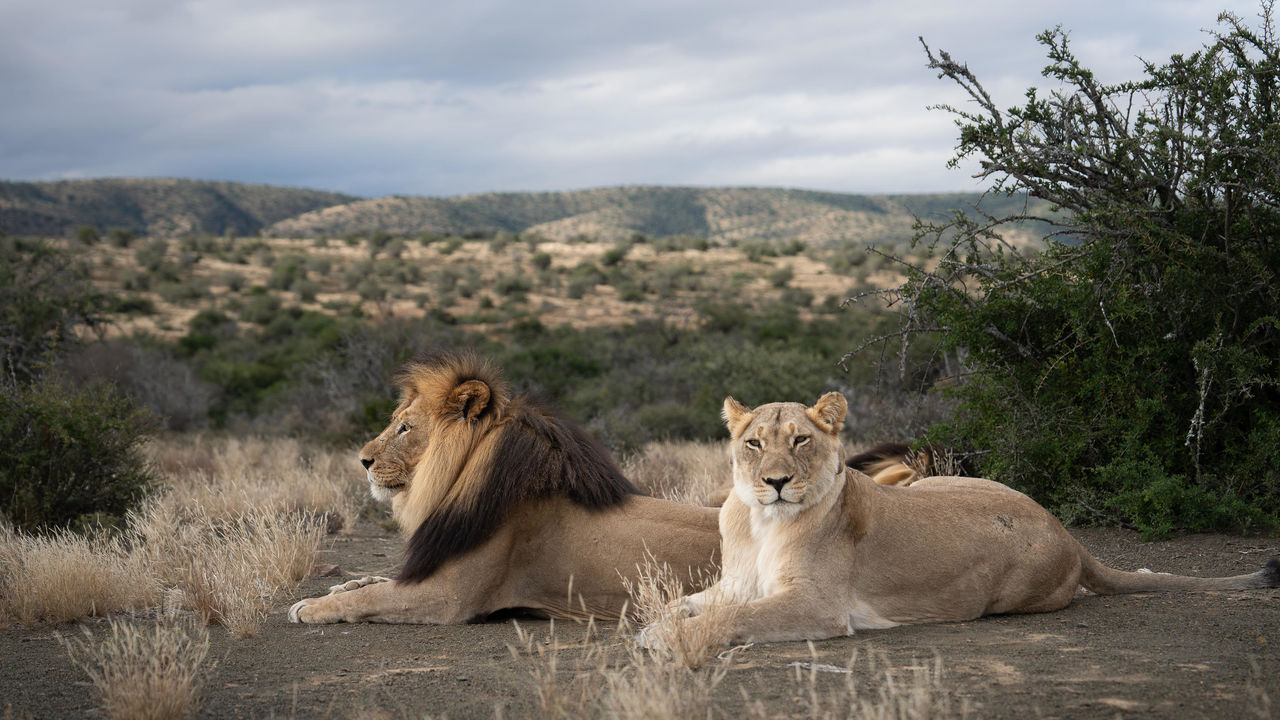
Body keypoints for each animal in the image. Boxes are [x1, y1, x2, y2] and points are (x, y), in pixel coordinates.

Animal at [288, 351, 721, 622]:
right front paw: (342, 585)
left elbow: (371, 597)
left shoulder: (450, 596)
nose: (363, 460)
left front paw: (308, 606)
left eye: (405, 427)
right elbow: (375, 583)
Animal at [645, 389, 1280, 640]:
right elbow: (687, 604)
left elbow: (729, 620)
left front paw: (665, 640)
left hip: (1009, 592)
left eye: (800, 440)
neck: (760, 522)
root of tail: (1063, 529)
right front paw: (658, 623)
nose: (775, 482)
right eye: (754, 443)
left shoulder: (817, 606)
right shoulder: (737, 583)